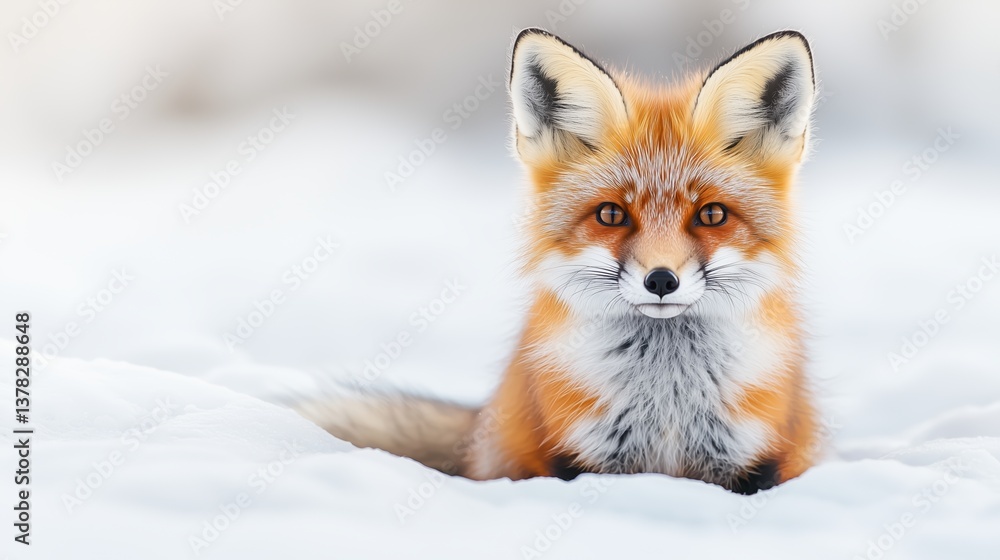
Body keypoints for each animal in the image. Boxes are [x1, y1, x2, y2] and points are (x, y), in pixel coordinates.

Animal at [300, 28, 820, 494]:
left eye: (711, 215)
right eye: (611, 215)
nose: (660, 280)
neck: (667, 398)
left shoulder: (756, 461)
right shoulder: (574, 457)